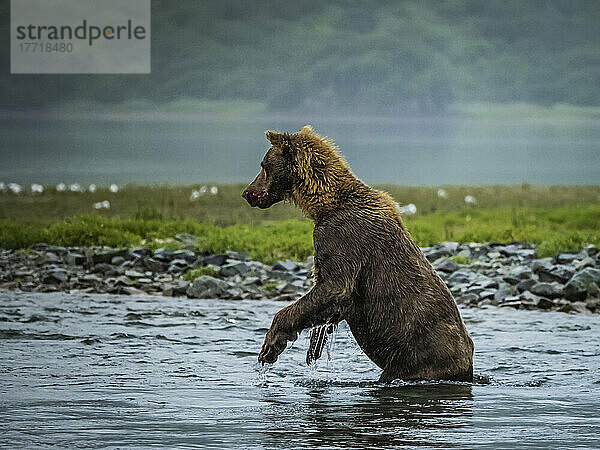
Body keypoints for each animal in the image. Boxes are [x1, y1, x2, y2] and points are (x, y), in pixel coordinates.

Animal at [240, 126, 474, 384]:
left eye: (263, 165)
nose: (247, 193)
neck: (324, 206)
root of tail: (467, 368)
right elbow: (329, 301)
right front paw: (314, 345)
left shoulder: (341, 239)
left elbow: (335, 287)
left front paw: (271, 346)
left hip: (415, 359)